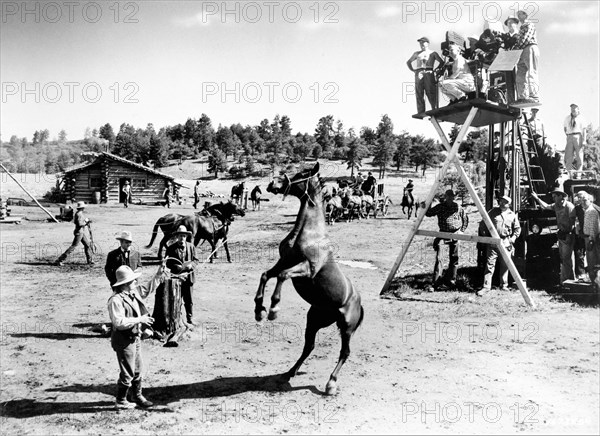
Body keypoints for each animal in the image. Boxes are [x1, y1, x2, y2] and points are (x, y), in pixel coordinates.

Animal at [252, 164, 364, 396]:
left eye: (301, 174)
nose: (272, 184)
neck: (310, 233)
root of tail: (359, 301)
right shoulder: (283, 261)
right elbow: (266, 275)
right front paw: (259, 310)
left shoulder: (306, 269)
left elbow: (282, 277)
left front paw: (273, 310)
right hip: (314, 320)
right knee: (308, 347)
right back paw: (289, 373)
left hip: (347, 328)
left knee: (345, 352)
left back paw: (331, 384)